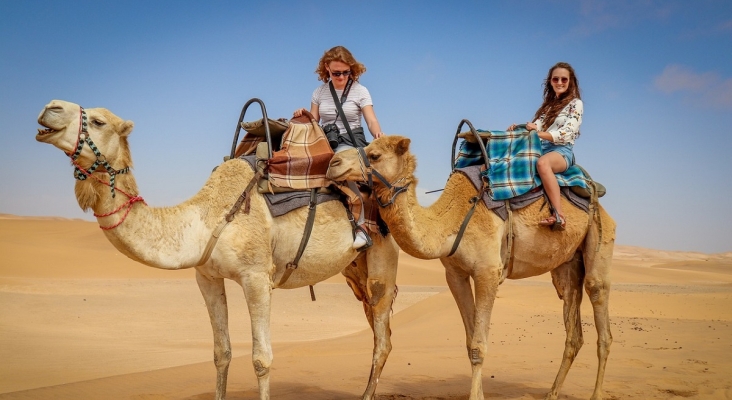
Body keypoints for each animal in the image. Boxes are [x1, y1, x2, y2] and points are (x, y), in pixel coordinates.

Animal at [35, 98, 400, 398]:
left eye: (98, 121)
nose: (50, 107)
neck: (206, 218)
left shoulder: (257, 277)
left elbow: (261, 359)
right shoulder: (207, 277)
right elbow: (221, 353)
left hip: (382, 256)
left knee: (382, 338)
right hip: (354, 269)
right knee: (377, 328)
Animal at [328, 136, 616, 398]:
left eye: (374, 155)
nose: (333, 163)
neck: (450, 221)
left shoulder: (488, 271)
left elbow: (479, 346)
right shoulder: (455, 275)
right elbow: (469, 343)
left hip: (600, 238)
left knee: (600, 311)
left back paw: (596, 394)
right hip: (567, 265)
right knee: (573, 326)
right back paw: (552, 394)